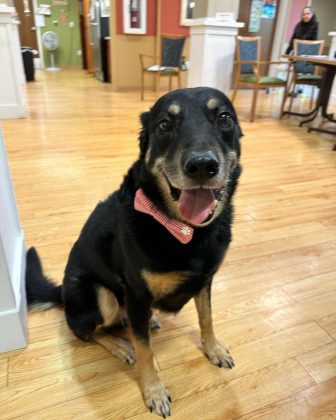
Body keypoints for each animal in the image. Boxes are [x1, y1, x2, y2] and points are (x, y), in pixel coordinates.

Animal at [25, 86, 242, 416]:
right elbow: (145, 350)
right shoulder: (137, 293)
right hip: (99, 294)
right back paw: (119, 344)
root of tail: (61, 291)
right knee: (88, 331)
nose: (202, 166)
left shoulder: (205, 281)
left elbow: (207, 318)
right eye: (165, 125)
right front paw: (153, 390)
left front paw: (214, 349)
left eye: (224, 118)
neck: (186, 231)